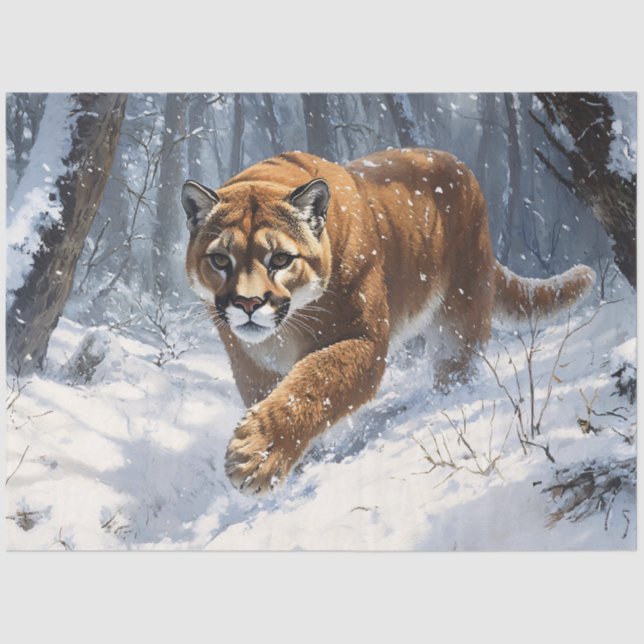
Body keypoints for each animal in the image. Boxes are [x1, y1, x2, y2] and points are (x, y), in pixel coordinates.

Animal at [181, 148, 595, 494]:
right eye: (220, 260)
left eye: (280, 259)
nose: (248, 302)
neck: (284, 332)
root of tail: (457, 163)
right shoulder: (250, 365)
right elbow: (277, 393)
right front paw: (296, 462)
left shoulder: (364, 340)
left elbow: (314, 382)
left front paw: (255, 457)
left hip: (461, 309)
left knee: (456, 363)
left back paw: (443, 403)